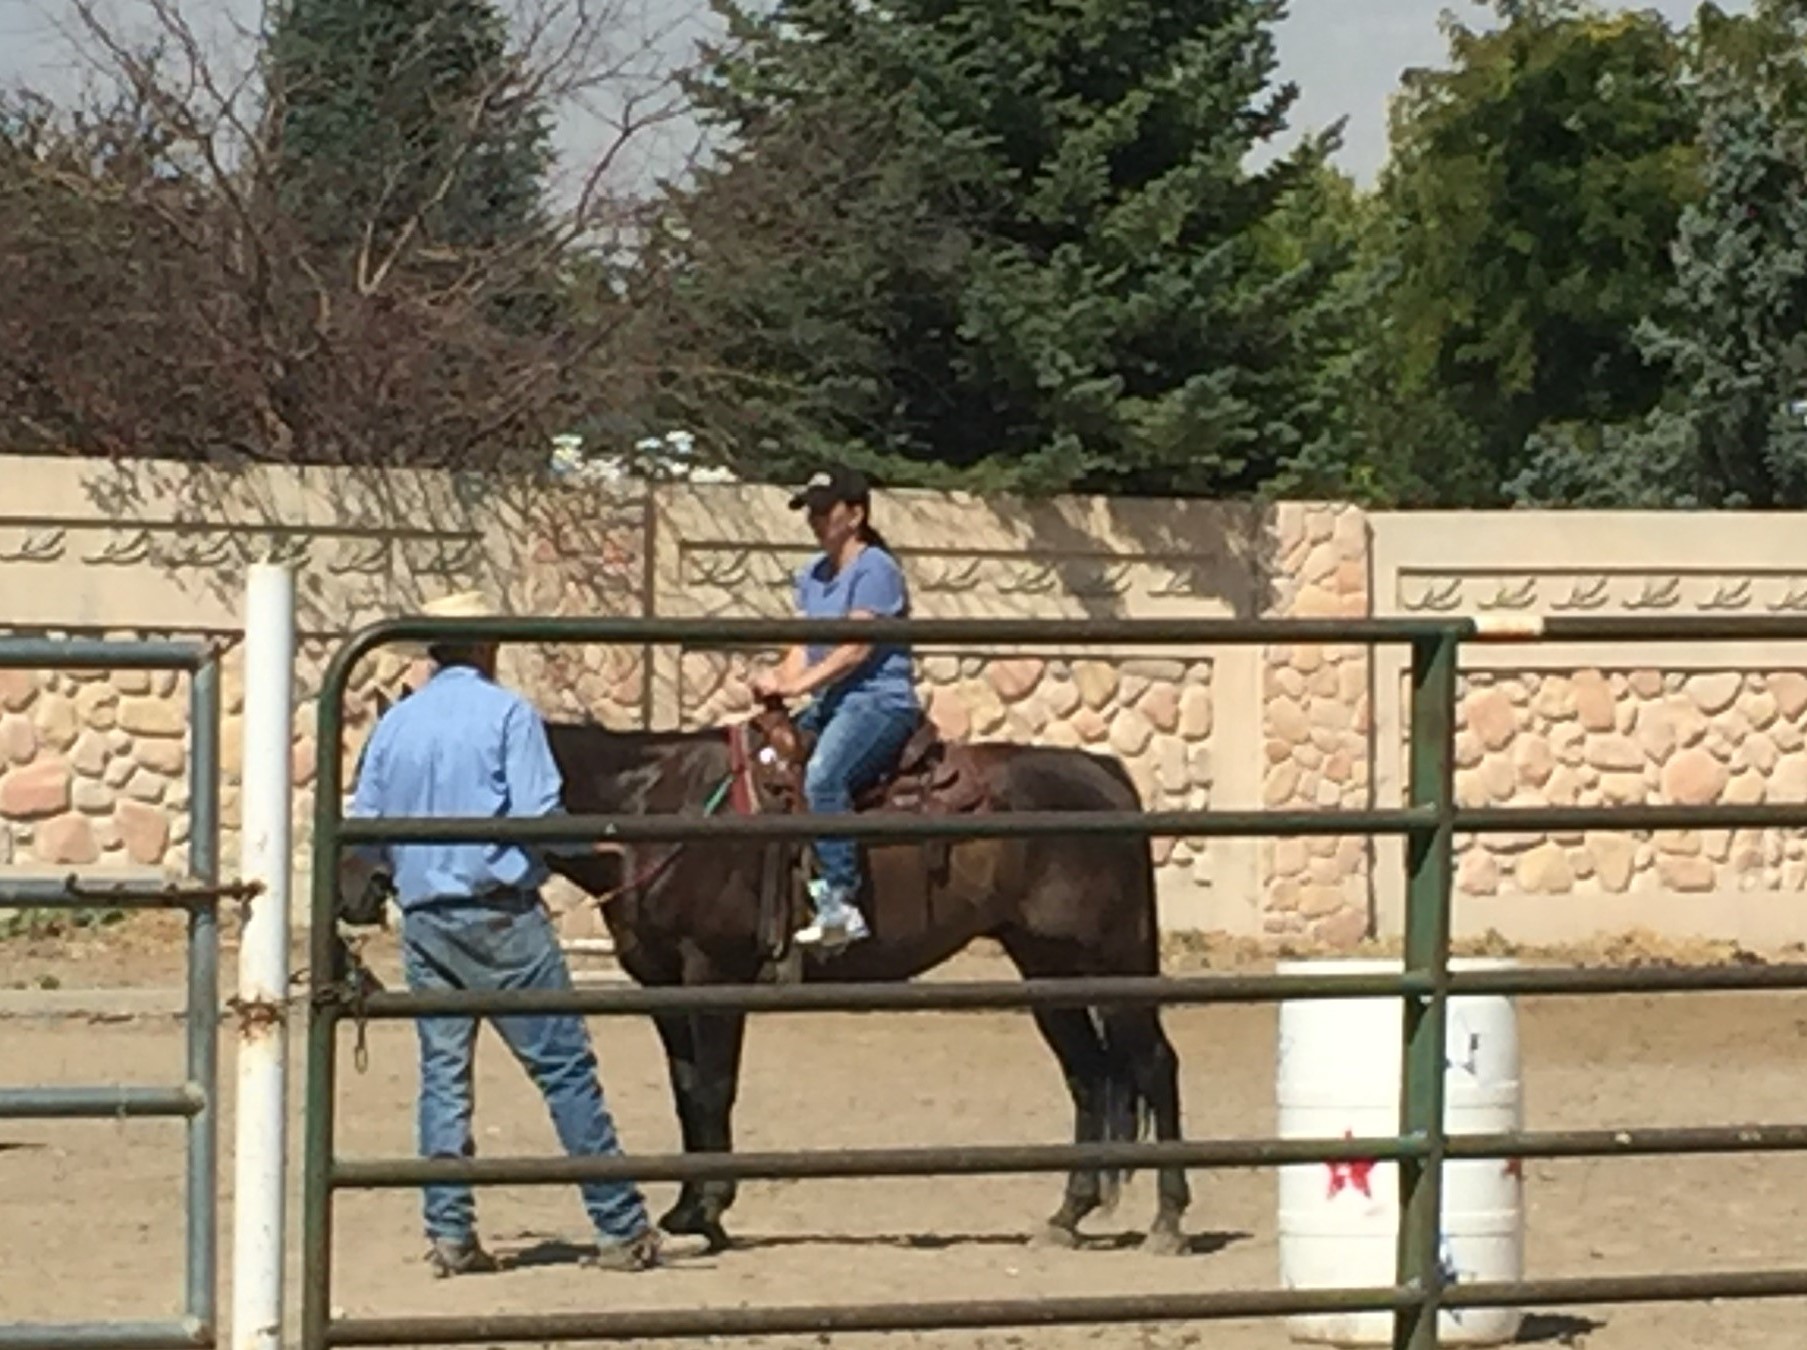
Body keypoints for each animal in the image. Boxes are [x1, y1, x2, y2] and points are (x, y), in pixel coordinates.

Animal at [354, 686, 1191, 1256]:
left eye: (382, 771)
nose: (357, 889)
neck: (656, 810)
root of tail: (1103, 773)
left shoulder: (711, 974)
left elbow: (714, 1088)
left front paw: (710, 1210)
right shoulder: (660, 985)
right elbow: (686, 1091)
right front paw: (689, 1210)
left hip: (1111, 963)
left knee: (1151, 1064)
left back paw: (1168, 1220)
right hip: (1046, 967)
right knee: (1088, 1075)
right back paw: (1069, 1213)